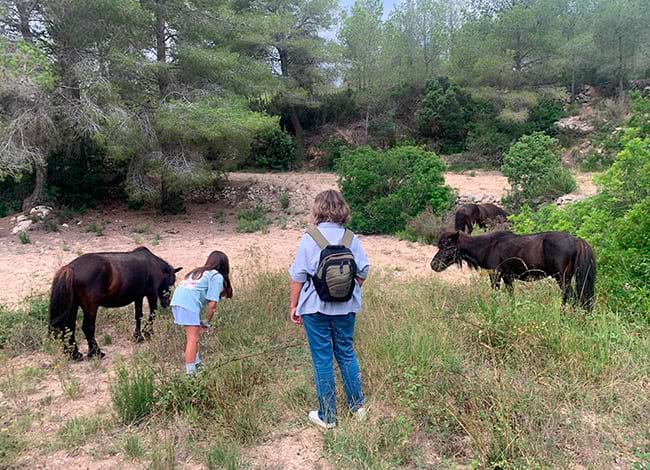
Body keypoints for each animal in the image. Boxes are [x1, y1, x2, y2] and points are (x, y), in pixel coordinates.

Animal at [48, 247, 182, 360]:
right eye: (172, 281)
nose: (166, 302)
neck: (152, 263)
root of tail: (71, 267)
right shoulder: (152, 294)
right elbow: (152, 315)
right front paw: (147, 333)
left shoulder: (138, 297)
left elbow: (138, 316)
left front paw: (138, 337)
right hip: (91, 307)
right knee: (87, 327)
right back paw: (96, 353)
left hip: (73, 306)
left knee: (68, 327)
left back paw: (75, 354)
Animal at [430, 230, 596, 310]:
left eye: (447, 246)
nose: (433, 264)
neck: (488, 246)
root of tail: (576, 240)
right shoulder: (508, 278)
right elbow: (511, 297)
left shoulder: (495, 275)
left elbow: (495, 295)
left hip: (562, 278)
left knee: (572, 299)